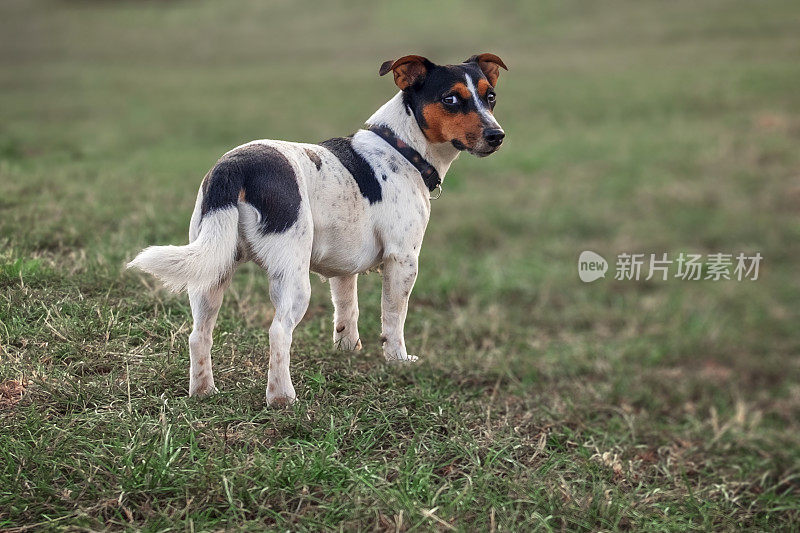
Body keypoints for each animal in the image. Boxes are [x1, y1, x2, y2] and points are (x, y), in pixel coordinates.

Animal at [129, 53, 510, 404]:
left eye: (490, 96)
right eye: (451, 99)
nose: (497, 136)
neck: (402, 148)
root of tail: (234, 167)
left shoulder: (343, 269)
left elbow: (347, 310)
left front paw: (347, 351)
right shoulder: (403, 260)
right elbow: (393, 318)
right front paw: (397, 360)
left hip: (211, 268)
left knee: (199, 334)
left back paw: (203, 392)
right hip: (292, 278)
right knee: (278, 332)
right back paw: (282, 399)